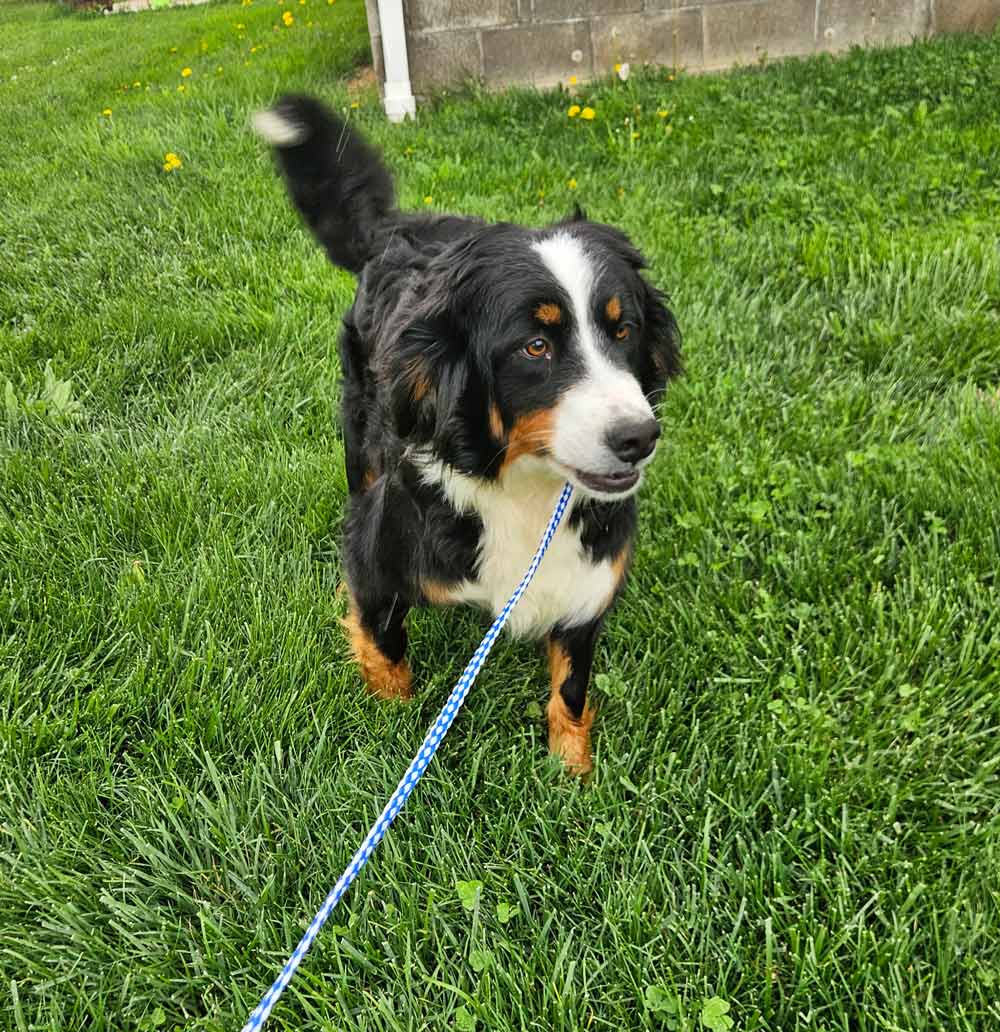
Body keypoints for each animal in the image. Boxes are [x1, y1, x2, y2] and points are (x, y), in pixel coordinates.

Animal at [254, 95, 681, 775]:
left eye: (624, 329)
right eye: (535, 346)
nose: (639, 437)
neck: (521, 488)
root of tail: (399, 226)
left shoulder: (588, 578)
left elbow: (571, 686)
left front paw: (571, 773)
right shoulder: (381, 550)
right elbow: (383, 642)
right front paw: (389, 723)